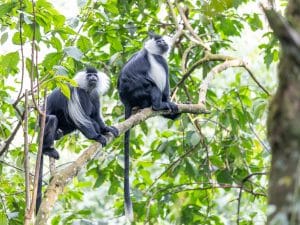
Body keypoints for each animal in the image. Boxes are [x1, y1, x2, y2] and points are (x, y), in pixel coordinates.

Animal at [35, 66, 118, 213]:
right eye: (89, 75)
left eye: (95, 75)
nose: (93, 78)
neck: (87, 90)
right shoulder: (76, 94)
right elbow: (81, 120)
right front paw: (97, 137)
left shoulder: (95, 96)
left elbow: (96, 117)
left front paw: (107, 129)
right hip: (43, 122)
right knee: (53, 119)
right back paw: (47, 149)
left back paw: (58, 134)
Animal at [116, 32, 178, 220]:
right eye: (158, 40)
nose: (164, 41)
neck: (153, 54)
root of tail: (126, 101)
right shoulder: (156, 62)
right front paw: (165, 102)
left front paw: (171, 105)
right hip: (137, 93)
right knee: (150, 86)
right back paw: (158, 105)